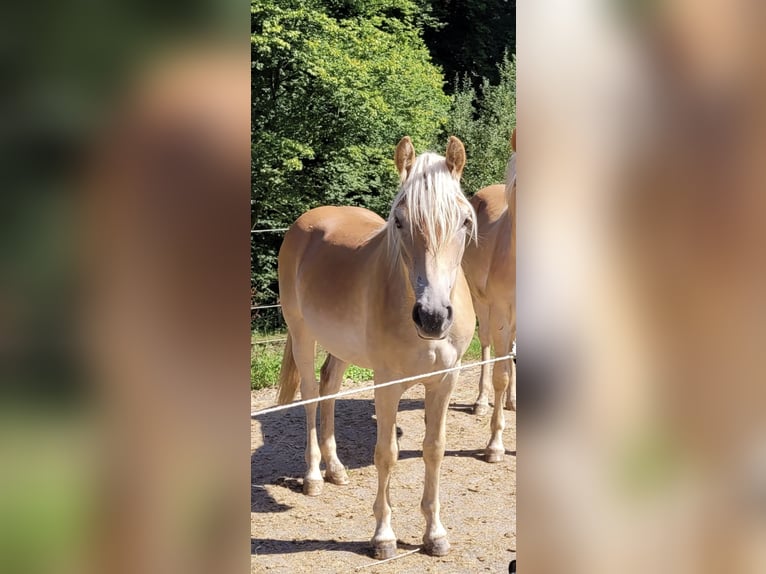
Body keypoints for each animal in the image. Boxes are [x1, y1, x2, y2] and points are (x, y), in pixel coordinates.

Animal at [276, 136, 480, 564]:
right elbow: (386, 454)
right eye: (399, 221)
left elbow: (434, 450)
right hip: (302, 334)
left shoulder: (444, 381)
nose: (432, 317)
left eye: (465, 221)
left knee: (330, 388)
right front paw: (384, 537)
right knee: (310, 395)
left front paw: (435, 535)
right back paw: (314, 476)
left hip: (339, 347)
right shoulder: (386, 385)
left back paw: (336, 469)